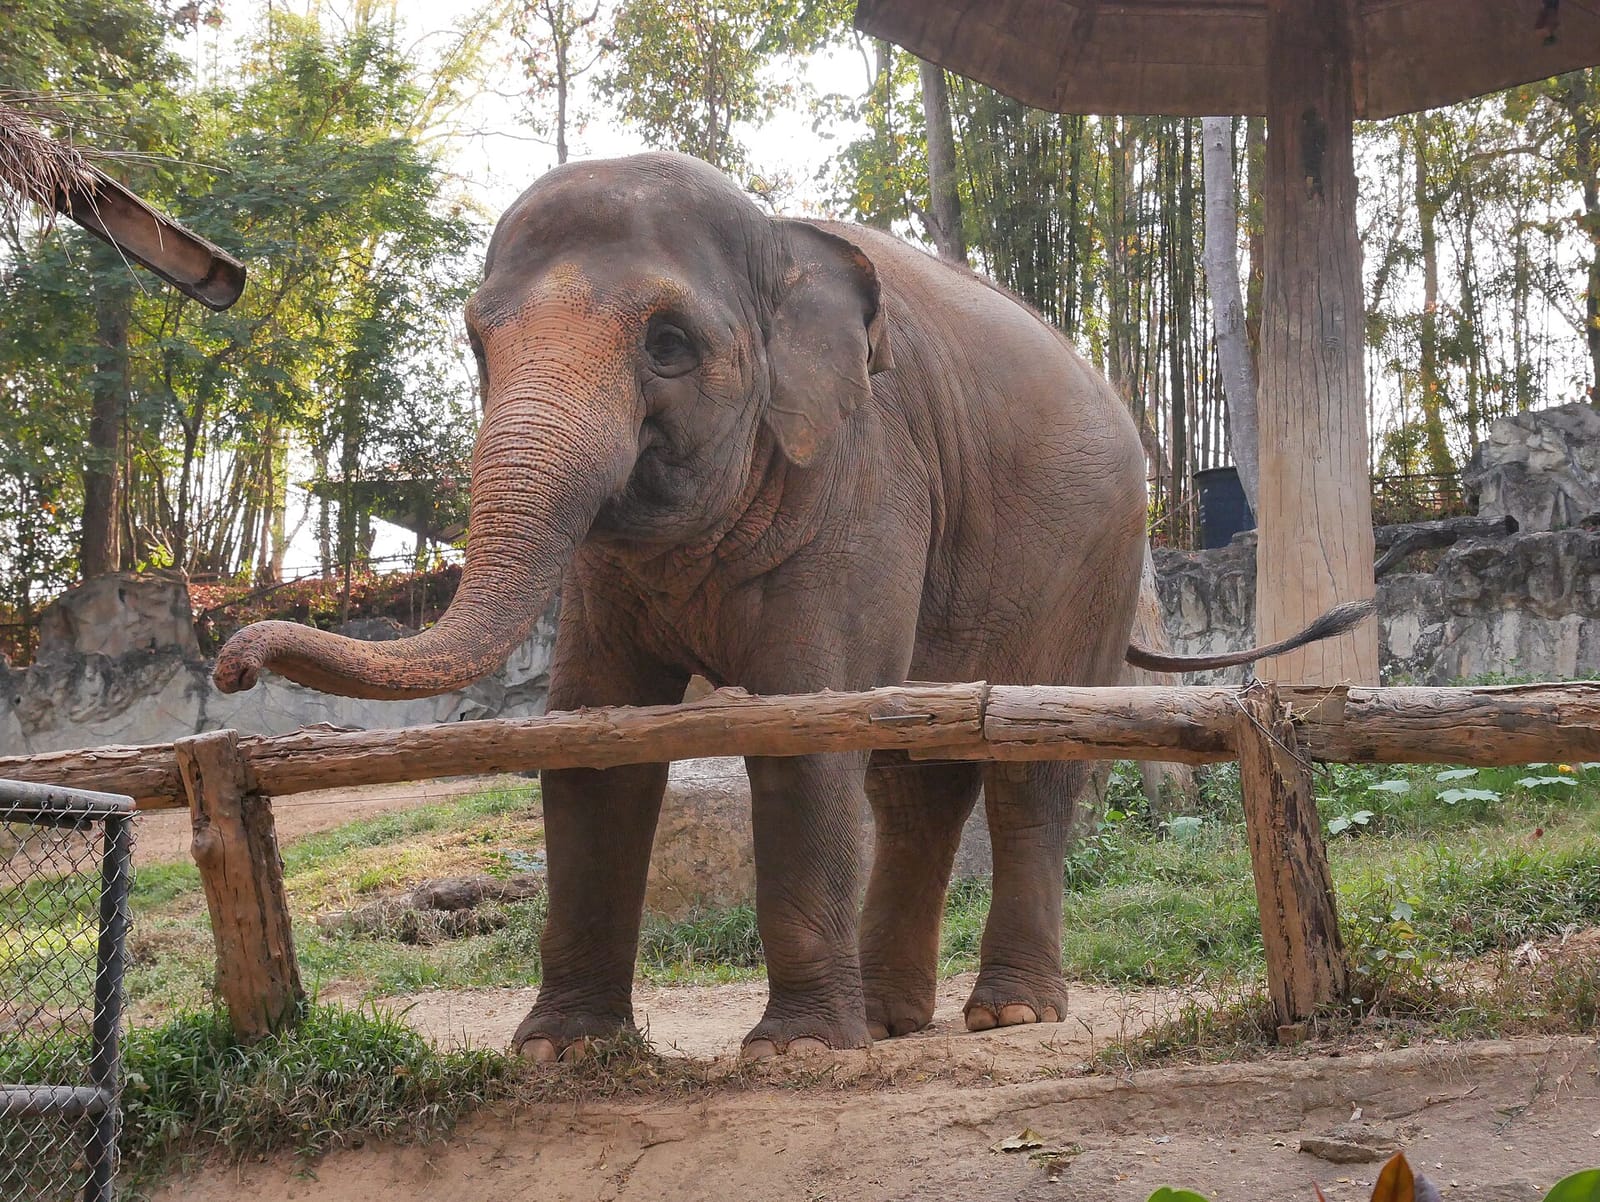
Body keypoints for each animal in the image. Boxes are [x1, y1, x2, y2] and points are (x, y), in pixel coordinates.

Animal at [215, 152, 1368, 1060]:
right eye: (476, 342)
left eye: (668, 343)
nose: (231, 663)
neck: (777, 239)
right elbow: (595, 733)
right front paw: (557, 1050)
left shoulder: (866, 472)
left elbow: (803, 723)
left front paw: (797, 1050)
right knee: (915, 773)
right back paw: (893, 1020)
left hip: (1089, 561)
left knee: (1024, 766)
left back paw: (1005, 1017)